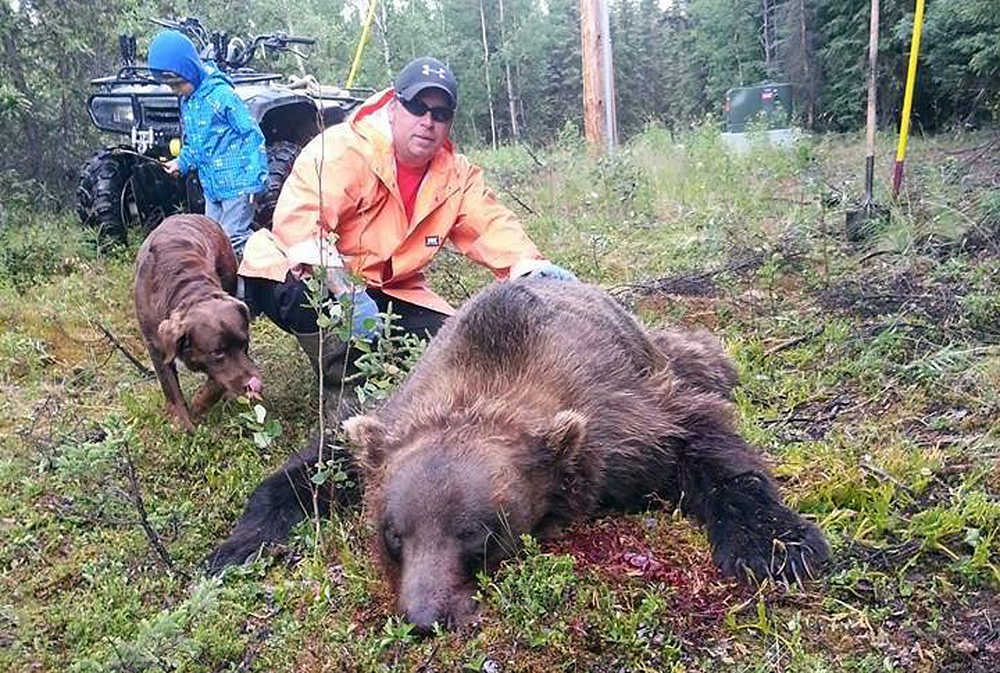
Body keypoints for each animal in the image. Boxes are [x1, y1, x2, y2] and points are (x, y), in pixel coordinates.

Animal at [207, 276, 824, 632]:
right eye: (392, 534)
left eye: (478, 535)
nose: (426, 619)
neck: (490, 374)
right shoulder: (395, 412)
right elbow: (312, 465)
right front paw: (237, 547)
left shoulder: (624, 420)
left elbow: (708, 445)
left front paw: (779, 546)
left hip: (662, 355)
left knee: (700, 357)